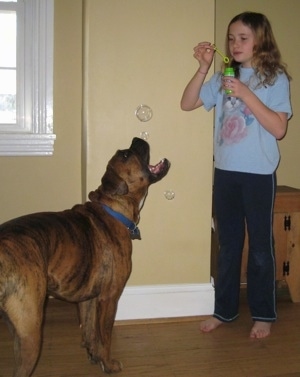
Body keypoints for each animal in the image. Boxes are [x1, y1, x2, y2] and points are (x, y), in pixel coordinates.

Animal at [0, 138, 170, 376]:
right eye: (126, 155)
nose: (137, 138)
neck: (114, 208)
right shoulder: (109, 299)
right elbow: (105, 337)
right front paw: (108, 364)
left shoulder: (87, 299)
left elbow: (89, 332)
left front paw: (93, 355)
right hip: (30, 332)